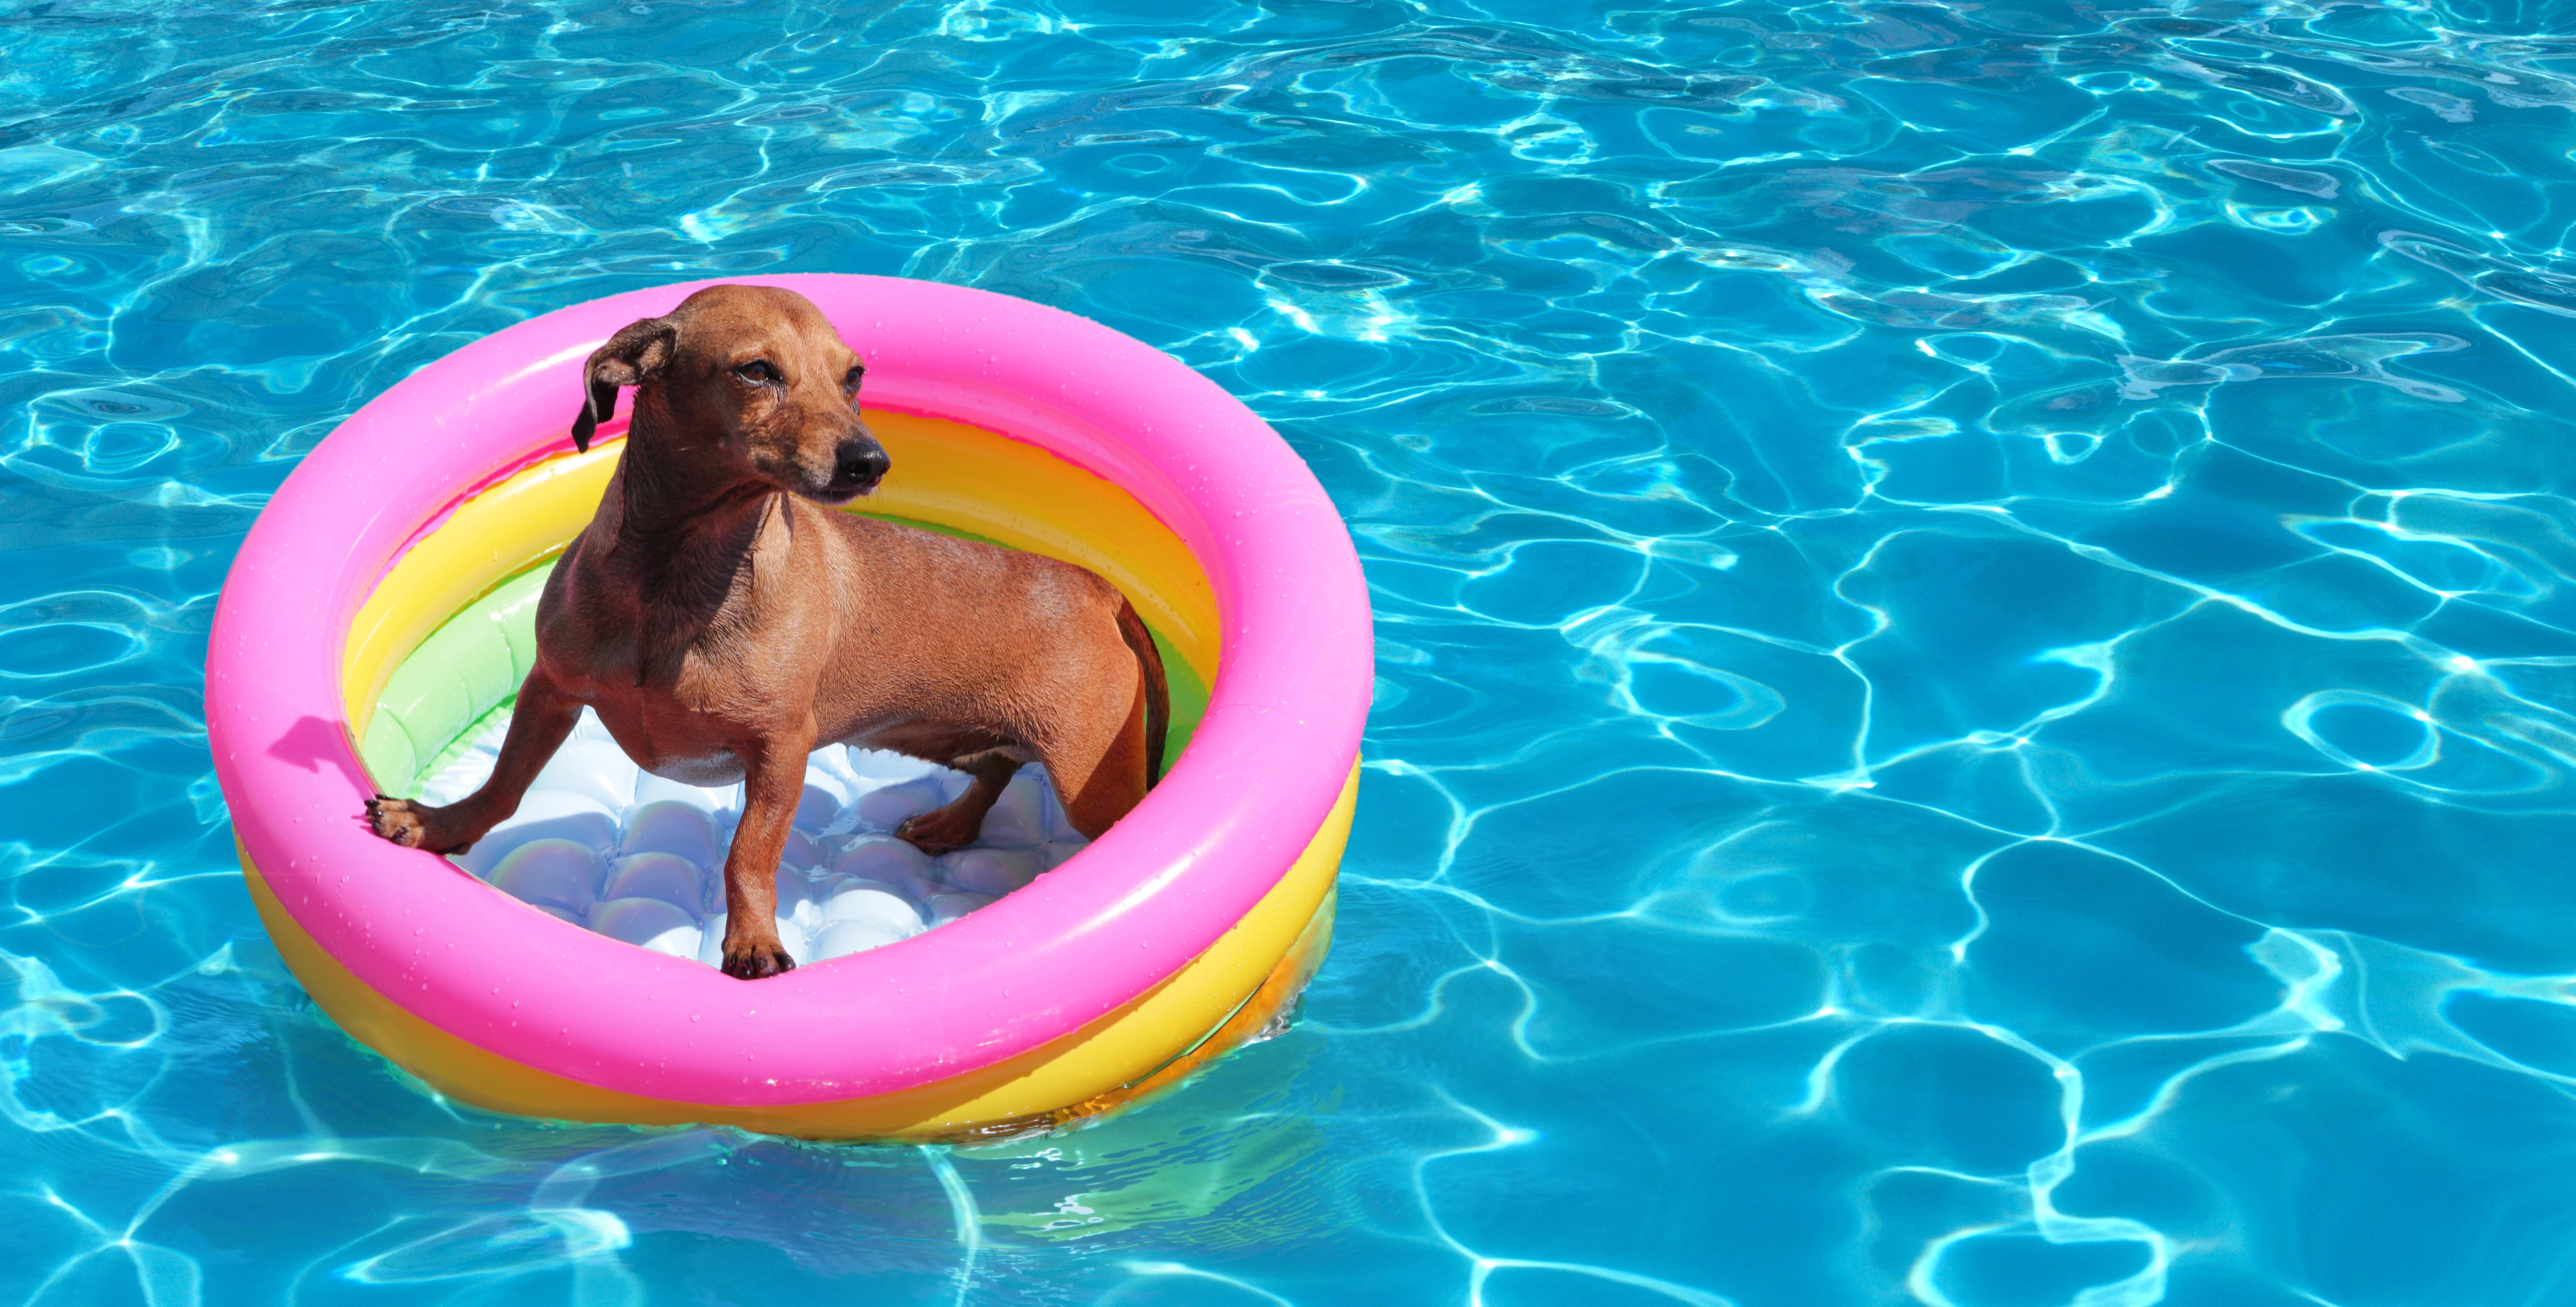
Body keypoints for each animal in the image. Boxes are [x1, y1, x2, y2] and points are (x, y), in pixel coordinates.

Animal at [363, 286, 1169, 980]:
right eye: (757, 371)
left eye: (853, 376)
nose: (869, 461)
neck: (675, 582)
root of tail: (1094, 585)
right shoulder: (552, 688)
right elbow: (505, 783)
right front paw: (439, 824)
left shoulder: (781, 749)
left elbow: (749, 856)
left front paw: (752, 940)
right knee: (997, 767)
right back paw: (950, 823)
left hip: (1090, 783)